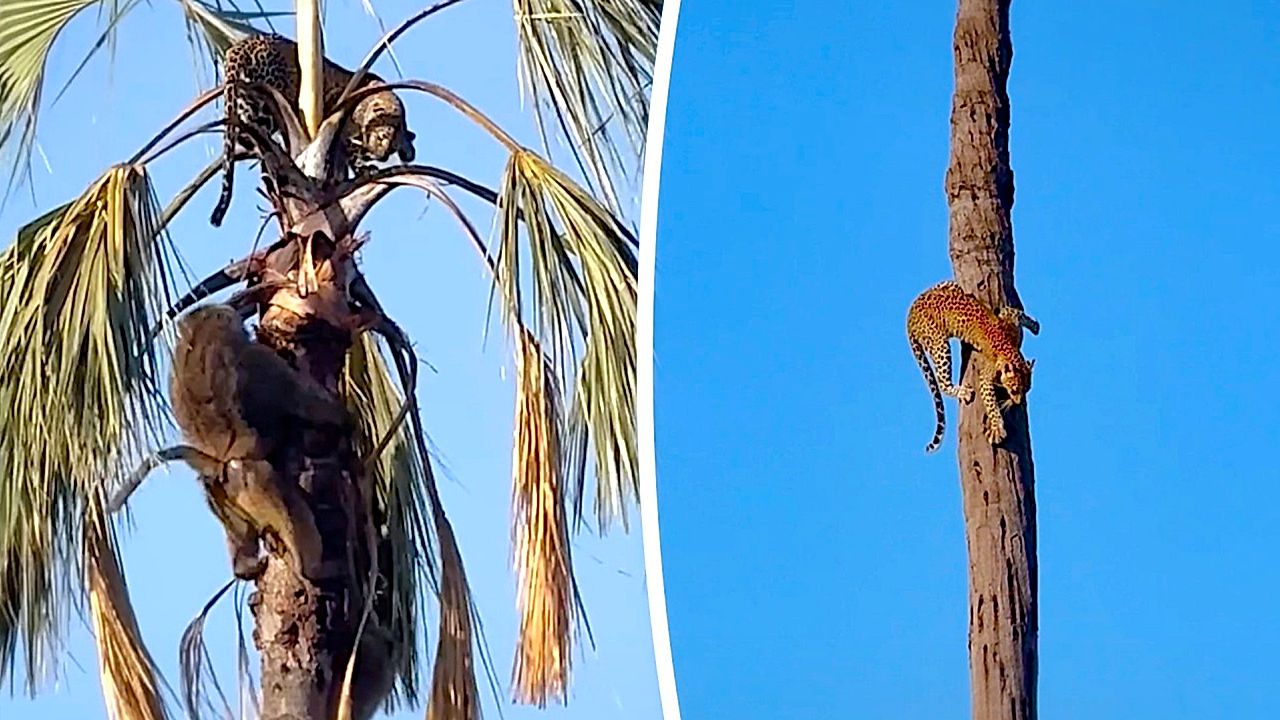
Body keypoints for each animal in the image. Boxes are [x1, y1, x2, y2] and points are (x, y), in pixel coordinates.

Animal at [210, 33, 418, 226]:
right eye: (382, 137)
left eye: (391, 149)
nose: (381, 156)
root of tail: (240, 46)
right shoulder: (346, 130)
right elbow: (350, 153)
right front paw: (364, 169)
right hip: (271, 99)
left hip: (247, 101)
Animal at [906, 280, 1039, 453]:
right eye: (1015, 390)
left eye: (1026, 390)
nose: (1017, 402)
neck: (1010, 353)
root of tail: (910, 313)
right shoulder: (985, 376)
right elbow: (990, 403)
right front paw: (997, 428)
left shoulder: (1009, 317)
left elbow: (1019, 314)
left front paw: (1035, 326)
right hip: (939, 343)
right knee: (942, 382)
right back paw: (963, 391)